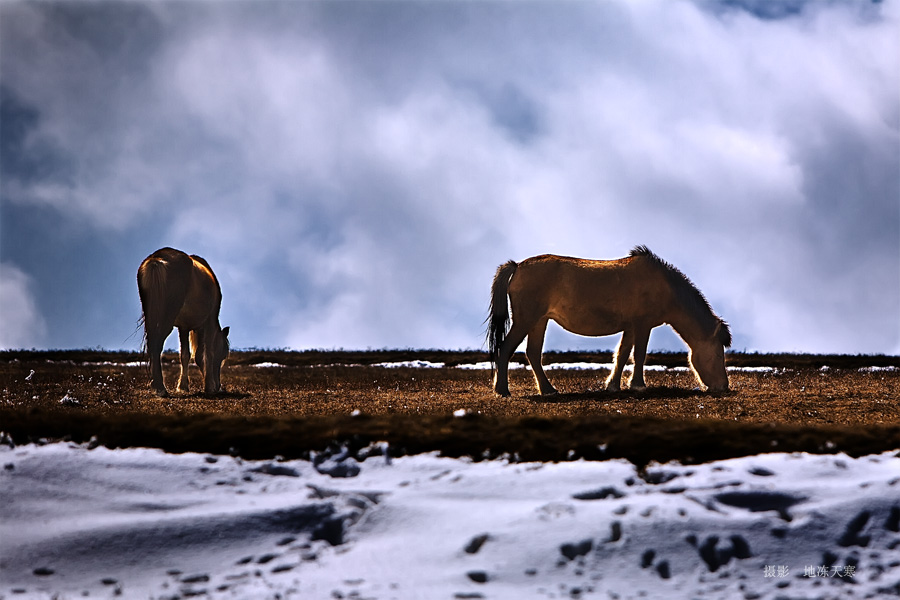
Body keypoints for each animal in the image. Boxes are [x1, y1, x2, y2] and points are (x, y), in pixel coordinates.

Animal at [137, 246, 230, 396]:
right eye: (222, 355)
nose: (219, 386)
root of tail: (156, 260)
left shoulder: (183, 327)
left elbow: (185, 355)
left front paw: (183, 386)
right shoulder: (209, 322)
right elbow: (207, 353)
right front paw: (209, 386)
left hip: (151, 315)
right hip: (166, 318)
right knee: (157, 344)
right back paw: (160, 387)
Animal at [486, 246, 732, 396]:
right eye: (719, 354)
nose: (723, 386)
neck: (665, 287)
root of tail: (517, 266)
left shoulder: (631, 327)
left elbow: (622, 354)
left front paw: (613, 385)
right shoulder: (642, 325)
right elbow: (638, 354)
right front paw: (638, 385)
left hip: (539, 321)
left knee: (533, 354)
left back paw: (548, 389)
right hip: (526, 320)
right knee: (506, 348)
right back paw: (503, 390)